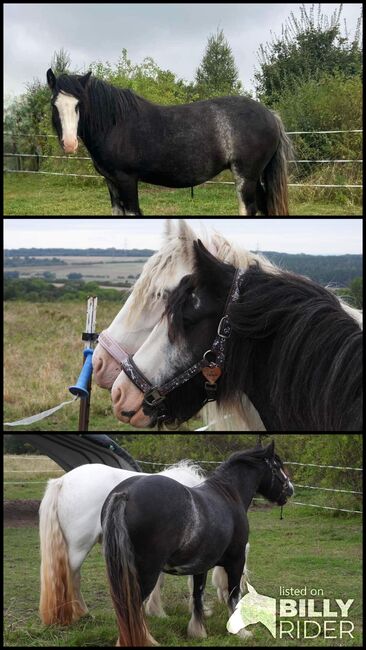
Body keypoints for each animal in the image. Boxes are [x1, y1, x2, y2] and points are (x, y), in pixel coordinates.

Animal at [47, 68, 294, 215]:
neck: (116, 124)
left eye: (79, 104)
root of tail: (270, 115)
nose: (69, 144)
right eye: (54, 104)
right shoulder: (112, 182)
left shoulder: (127, 180)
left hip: (245, 176)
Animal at [101, 440, 294, 644]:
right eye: (277, 466)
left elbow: (197, 595)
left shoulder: (201, 566)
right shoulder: (236, 560)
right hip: (146, 573)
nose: (290, 489)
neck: (228, 495)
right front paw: (241, 632)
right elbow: (233, 595)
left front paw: (198, 631)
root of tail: (125, 493)